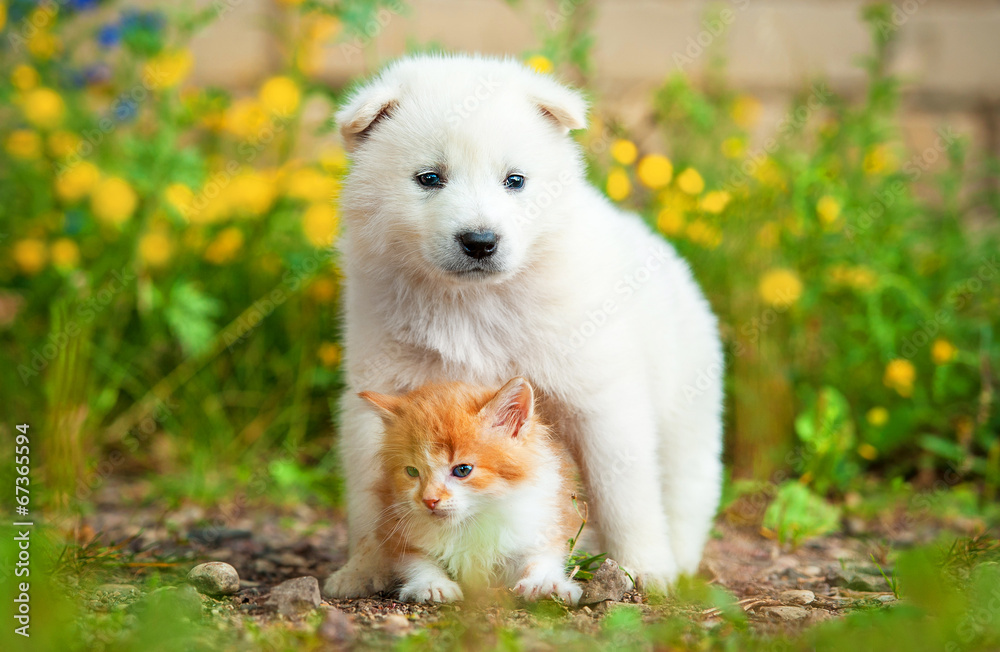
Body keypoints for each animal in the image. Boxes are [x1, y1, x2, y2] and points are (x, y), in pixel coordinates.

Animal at [360, 376, 584, 608]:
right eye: (412, 471)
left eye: (462, 470)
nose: (429, 500)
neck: (469, 525)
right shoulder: (395, 524)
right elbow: (415, 560)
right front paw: (431, 583)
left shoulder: (545, 522)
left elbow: (542, 557)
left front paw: (544, 583)